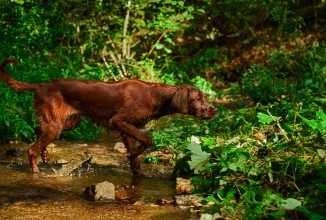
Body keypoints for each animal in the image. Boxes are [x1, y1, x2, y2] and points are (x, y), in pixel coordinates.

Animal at [0, 58, 216, 175]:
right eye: (199, 98)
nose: (216, 110)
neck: (157, 96)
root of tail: (41, 86)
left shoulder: (127, 127)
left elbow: (136, 154)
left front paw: (136, 169)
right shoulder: (119, 121)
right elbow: (147, 140)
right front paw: (133, 155)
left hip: (67, 122)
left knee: (38, 130)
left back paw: (45, 155)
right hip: (56, 125)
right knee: (31, 149)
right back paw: (36, 171)